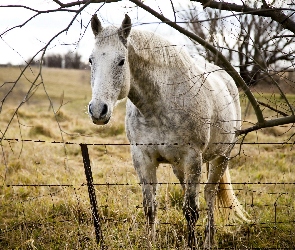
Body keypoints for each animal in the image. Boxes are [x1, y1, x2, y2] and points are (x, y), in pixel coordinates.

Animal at [88, 14, 250, 250]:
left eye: (121, 61)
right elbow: (150, 208)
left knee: (209, 194)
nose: (98, 110)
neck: (159, 106)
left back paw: (208, 241)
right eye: (91, 60)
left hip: (221, 157)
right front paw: (151, 243)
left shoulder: (193, 158)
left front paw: (193, 245)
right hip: (180, 167)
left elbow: (191, 211)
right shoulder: (143, 158)